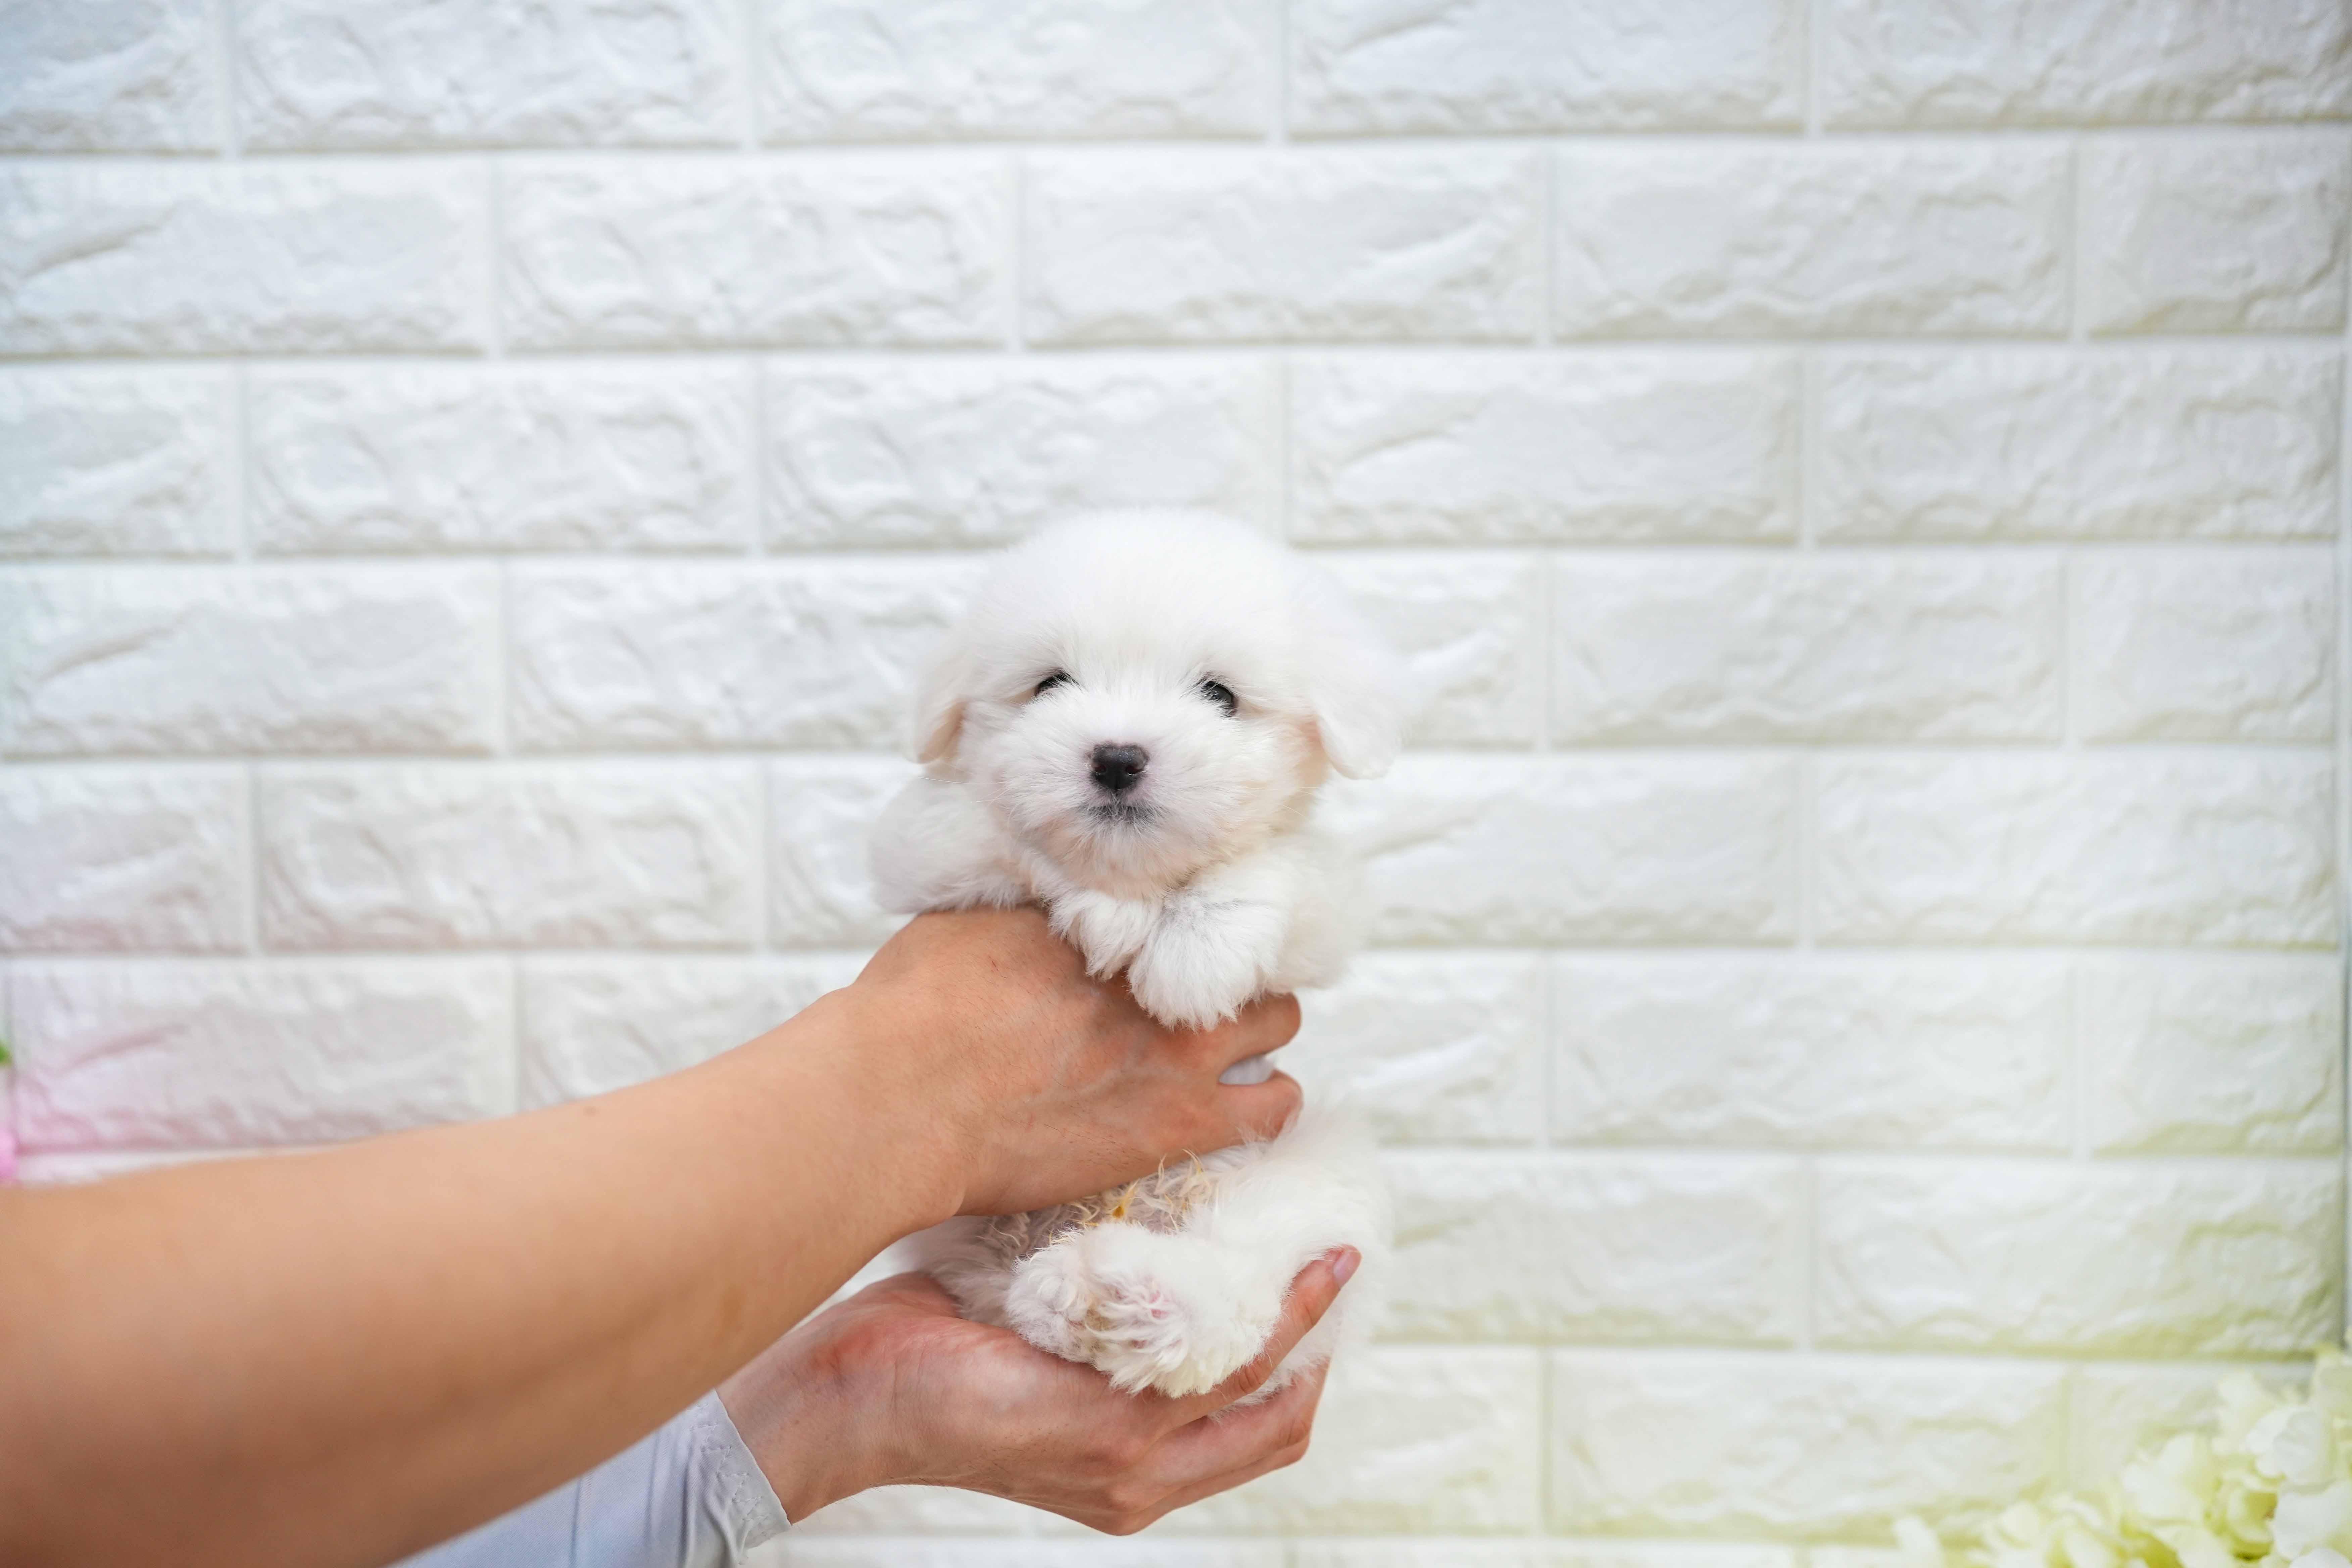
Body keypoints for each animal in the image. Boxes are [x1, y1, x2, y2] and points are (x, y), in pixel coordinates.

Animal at [879, 512, 1392, 1401]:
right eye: (1051, 684)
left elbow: (1270, 867)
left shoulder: (1325, 906)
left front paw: (1193, 956)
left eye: (1219, 695)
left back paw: (1134, 1298)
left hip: (1320, 1173)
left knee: (1243, 1263)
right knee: (1011, 1296)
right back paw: (1071, 1296)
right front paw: (1108, 909)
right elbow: (1006, 837)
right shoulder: (920, 846)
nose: (1117, 757)